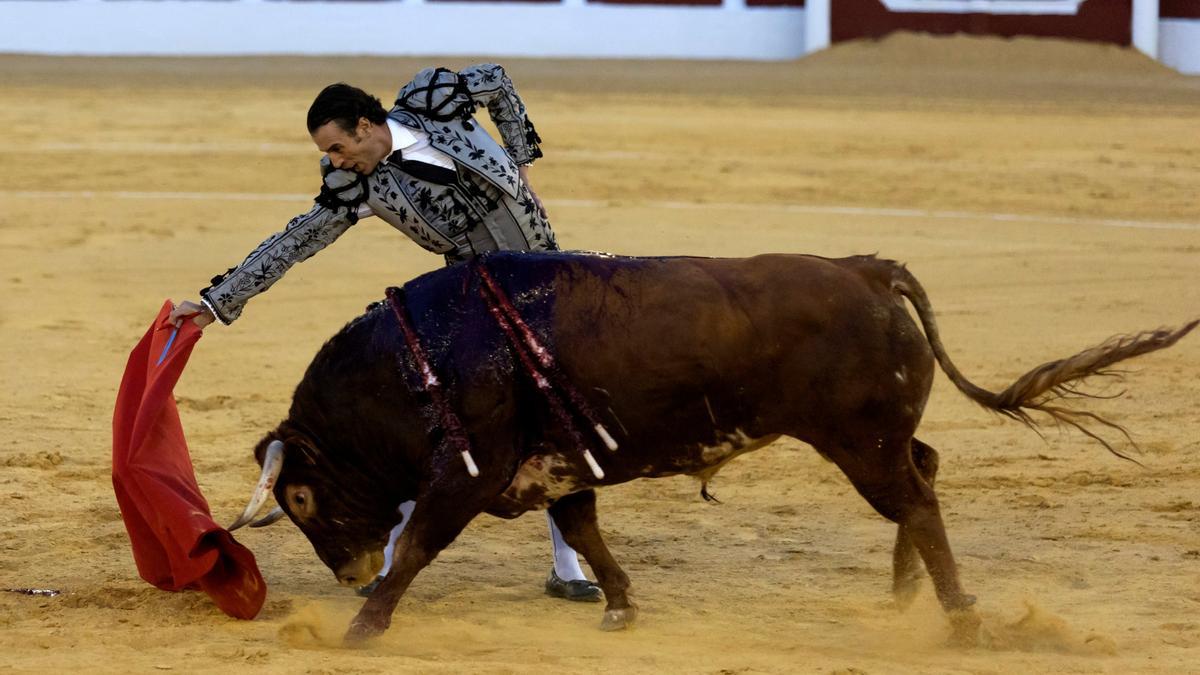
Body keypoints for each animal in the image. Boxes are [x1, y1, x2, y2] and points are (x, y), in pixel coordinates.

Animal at [229, 251, 1195, 638]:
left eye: (302, 495)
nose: (347, 572)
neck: (421, 353)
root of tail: (864, 267)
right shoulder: (556, 467)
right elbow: (586, 532)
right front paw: (621, 606)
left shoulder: (470, 475)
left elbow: (421, 542)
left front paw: (363, 626)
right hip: (878, 437)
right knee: (925, 474)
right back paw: (905, 593)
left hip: (859, 440)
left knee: (916, 496)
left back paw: (958, 617)